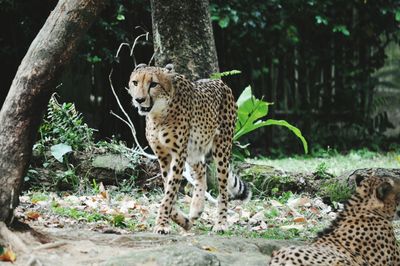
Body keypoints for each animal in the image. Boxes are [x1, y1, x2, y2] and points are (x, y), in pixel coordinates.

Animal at [128, 63, 250, 234]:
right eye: (135, 82)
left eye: (153, 84)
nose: (139, 100)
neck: (158, 114)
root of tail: (220, 82)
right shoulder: (163, 156)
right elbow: (168, 189)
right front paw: (182, 220)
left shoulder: (178, 155)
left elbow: (170, 192)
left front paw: (162, 224)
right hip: (194, 151)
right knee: (202, 170)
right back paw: (196, 209)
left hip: (222, 148)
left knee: (223, 190)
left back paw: (221, 223)